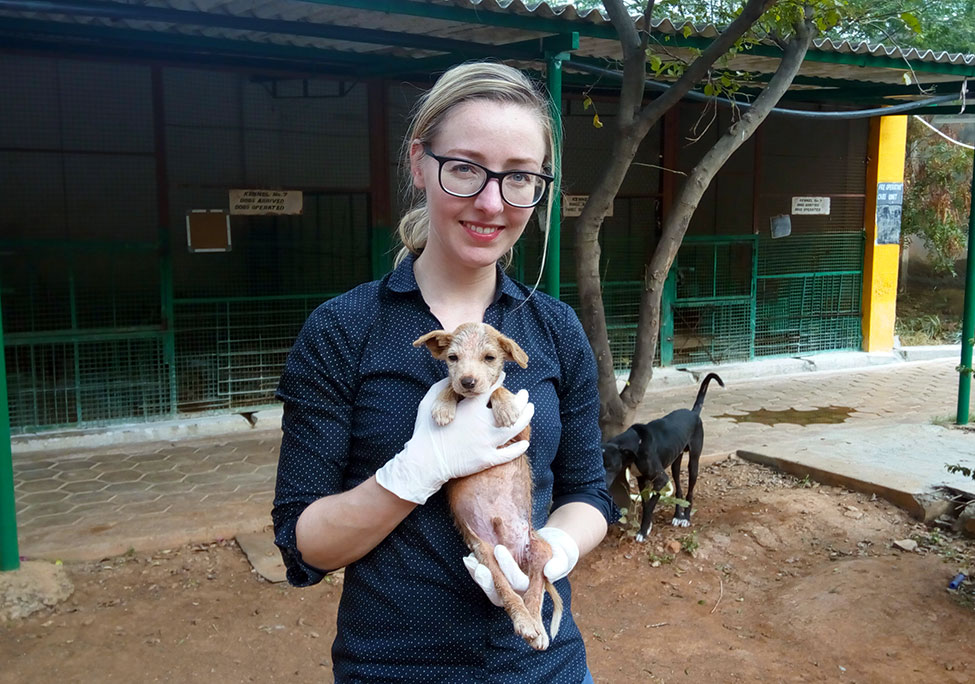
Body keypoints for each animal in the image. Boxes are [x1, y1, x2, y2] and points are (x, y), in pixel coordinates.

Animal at [413, 322, 562, 652]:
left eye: (490, 358)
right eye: (453, 358)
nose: (468, 381)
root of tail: (514, 555)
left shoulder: (522, 435)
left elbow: (499, 389)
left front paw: (505, 406)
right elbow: (449, 386)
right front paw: (443, 404)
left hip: (542, 550)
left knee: (536, 589)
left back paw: (536, 626)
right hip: (487, 555)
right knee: (508, 590)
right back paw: (525, 622)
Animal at [602, 372, 724, 542]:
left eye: (610, 466)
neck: (637, 443)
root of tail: (693, 412)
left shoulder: (661, 480)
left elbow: (650, 505)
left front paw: (643, 530)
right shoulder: (642, 480)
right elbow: (645, 503)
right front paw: (647, 527)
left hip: (693, 462)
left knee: (690, 490)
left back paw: (686, 518)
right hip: (676, 463)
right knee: (678, 489)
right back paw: (677, 516)